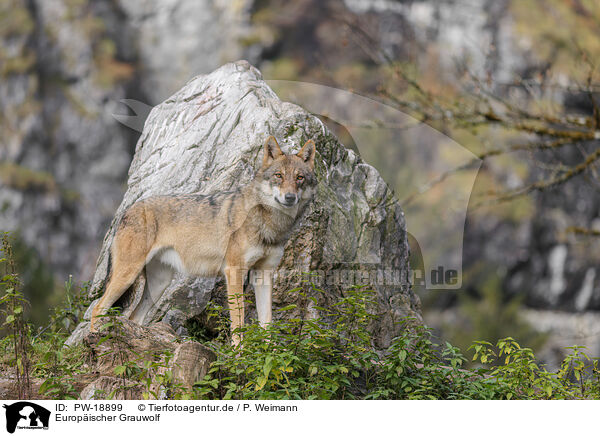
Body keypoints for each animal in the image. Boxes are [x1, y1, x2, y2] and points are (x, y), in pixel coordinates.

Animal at [90, 135, 318, 344]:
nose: (290, 197)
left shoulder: (264, 274)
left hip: (158, 285)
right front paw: (239, 354)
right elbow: (238, 322)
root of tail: (128, 209)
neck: (270, 224)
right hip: (128, 275)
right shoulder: (234, 272)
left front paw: (268, 355)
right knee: (98, 308)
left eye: (299, 178)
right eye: (279, 176)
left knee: (133, 317)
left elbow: (267, 323)